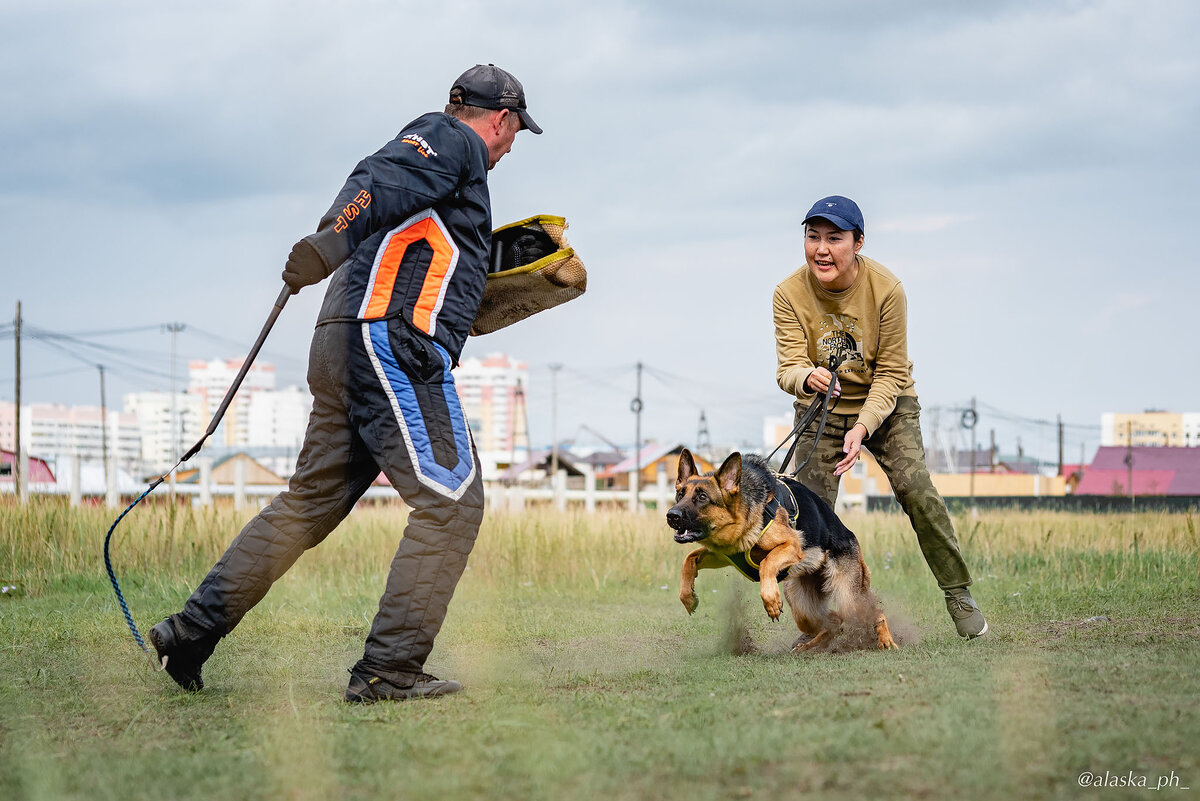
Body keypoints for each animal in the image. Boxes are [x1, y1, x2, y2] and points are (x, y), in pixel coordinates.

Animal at [672, 448, 897, 652]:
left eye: (702, 497)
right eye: (679, 494)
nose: (671, 515)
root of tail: (851, 536)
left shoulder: (792, 545)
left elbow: (766, 562)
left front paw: (771, 600)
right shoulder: (722, 555)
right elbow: (688, 560)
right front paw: (688, 597)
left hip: (849, 600)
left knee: (876, 613)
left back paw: (886, 641)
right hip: (802, 609)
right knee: (834, 622)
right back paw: (808, 647)